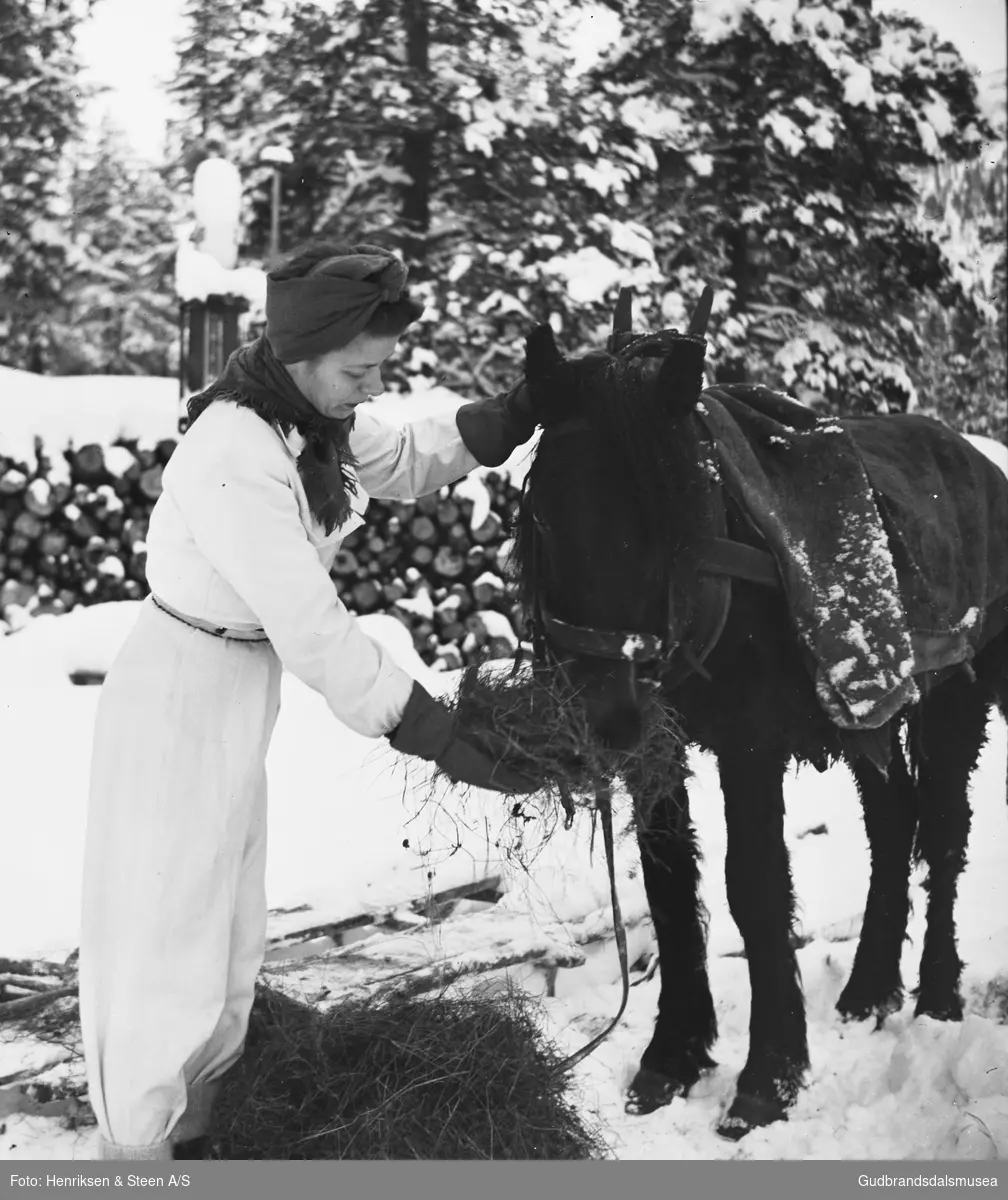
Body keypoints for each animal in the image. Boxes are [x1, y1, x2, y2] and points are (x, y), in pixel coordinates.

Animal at [516, 295, 1008, 1137]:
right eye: (543, 518)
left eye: (660, 519)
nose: (602, 723)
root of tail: (978, 459)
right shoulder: (659, 752)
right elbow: (669, 883)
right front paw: (674, 1054)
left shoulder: (751, 745)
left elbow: (754, 885)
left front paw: (770, 1074)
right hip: (866, 715)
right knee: (894, 825)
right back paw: (869, 989)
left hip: (956, 700)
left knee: (943, 835)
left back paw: (938, 992)